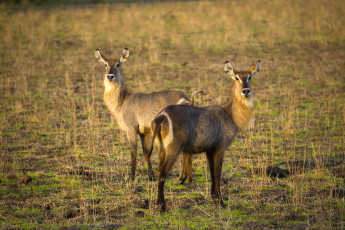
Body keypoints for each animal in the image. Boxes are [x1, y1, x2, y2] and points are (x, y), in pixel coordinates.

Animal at [95, 48, 200, 181]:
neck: (122, 101)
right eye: (105, 64)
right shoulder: (142, 131)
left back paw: (182, 178)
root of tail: (187, 100)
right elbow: (146, 152)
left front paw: (132, 177)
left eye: (118, 64)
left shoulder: (131, 129)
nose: (110, 76)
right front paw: (150, 175)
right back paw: (186, 178)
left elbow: (133, 152)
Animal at [145, 58, 260, 210]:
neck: (229, 114)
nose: (246, 90)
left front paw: (214, 198)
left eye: (250, 77)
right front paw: (220, 202)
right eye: (236, 77)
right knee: (163, 173)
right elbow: (217, 173)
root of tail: (161, 117)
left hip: (161, 149)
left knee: (159, 171)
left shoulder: (209, 150)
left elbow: (212, 173)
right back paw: (162, 206)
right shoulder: (220, 147)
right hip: (173, 148)